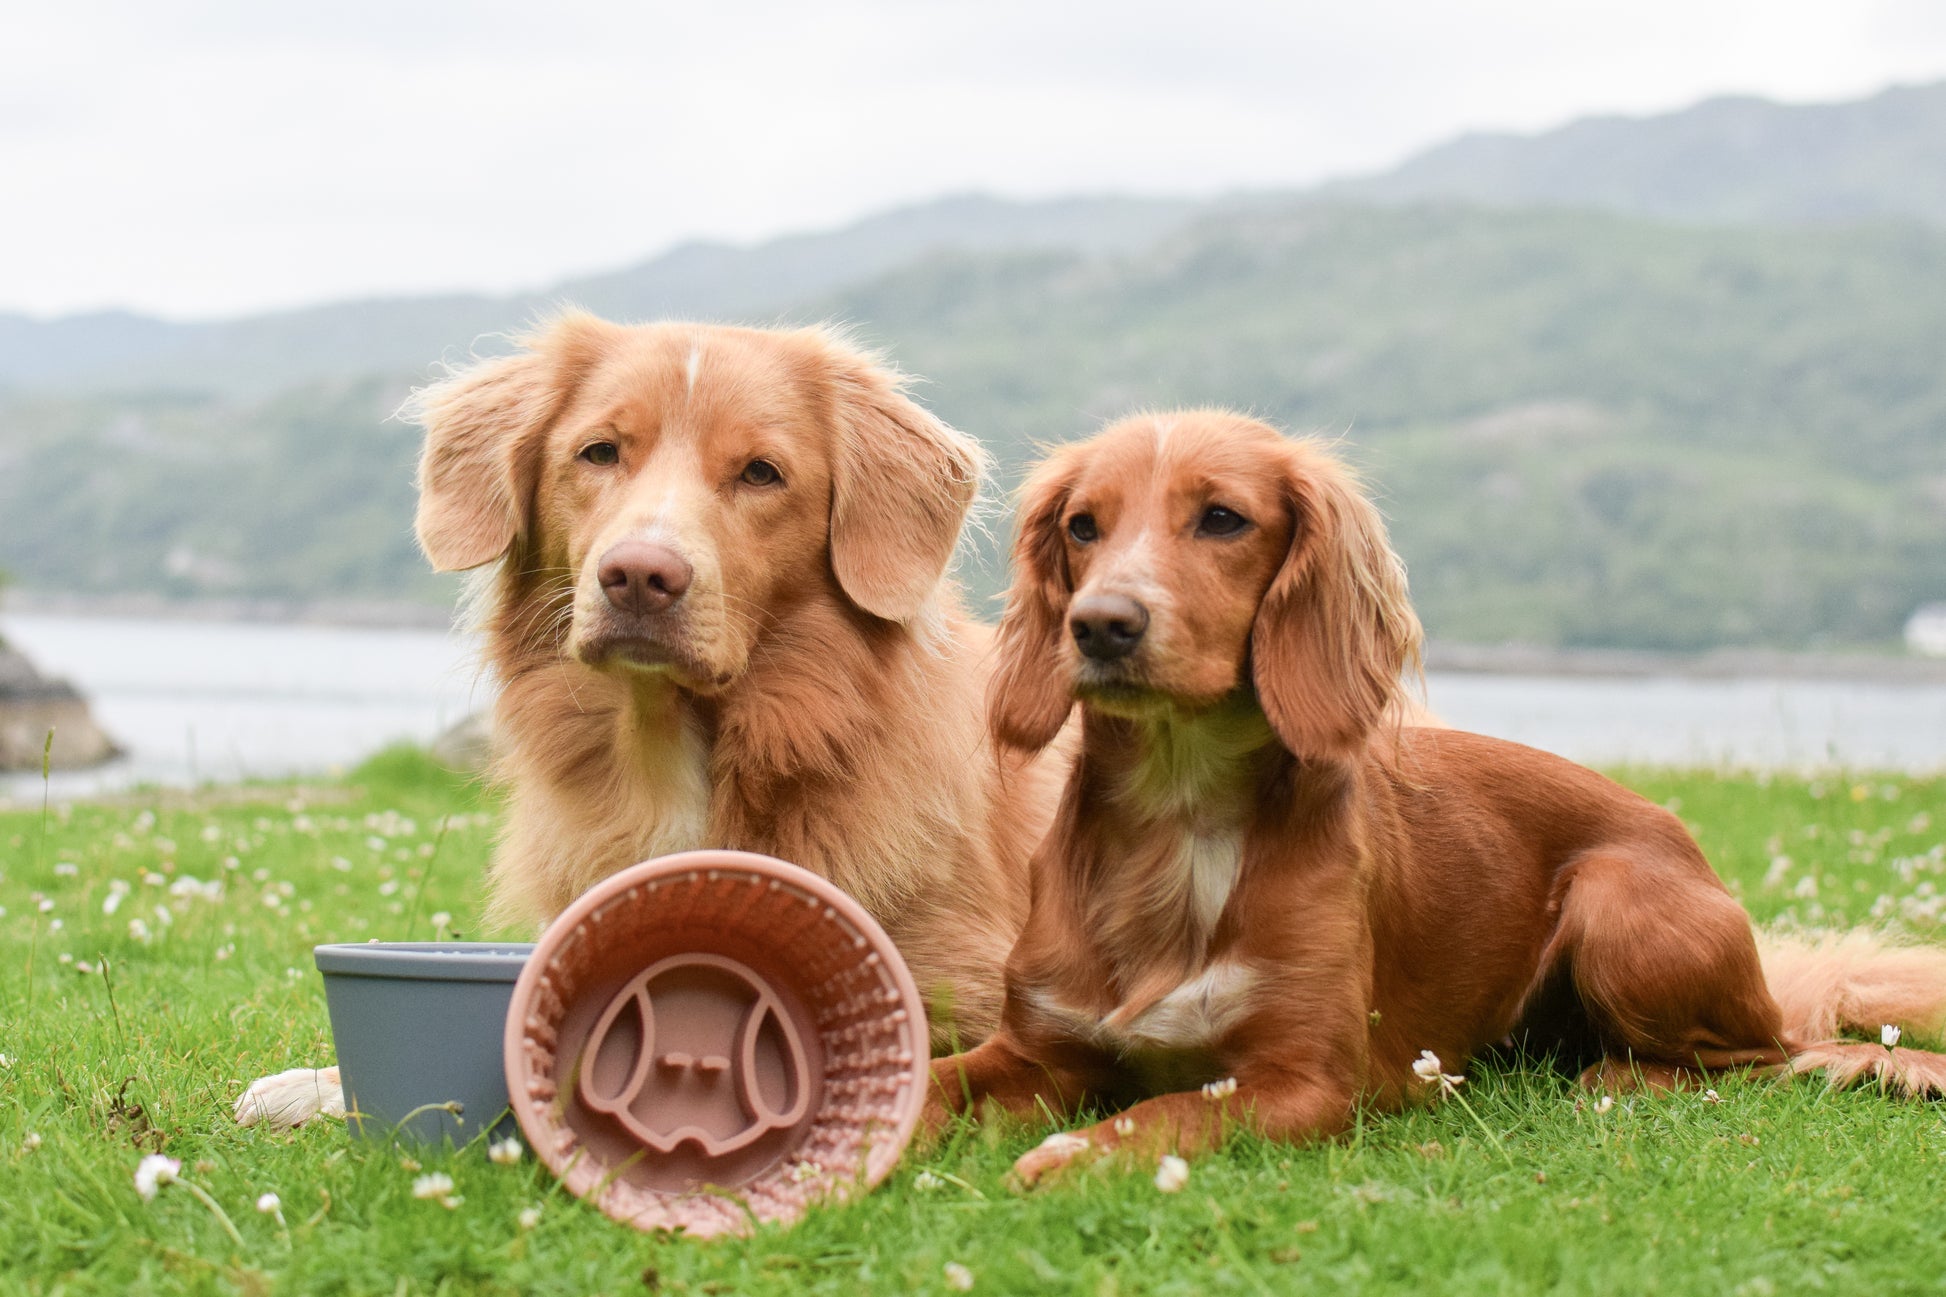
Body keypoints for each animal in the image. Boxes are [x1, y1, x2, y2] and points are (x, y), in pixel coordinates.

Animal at [239, 311, 1081, 1121]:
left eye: (761, 472)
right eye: (599, 452)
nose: (640, 575)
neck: (675, 747)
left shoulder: (979, 994)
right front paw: (312, 1085)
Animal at [922, 410, 1946, 1184]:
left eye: (1222, 518)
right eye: (1082, 526)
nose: (1099, 626)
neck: (1179, 819)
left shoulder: (1306, 1081)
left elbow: (1168, 1110)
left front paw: (1066, 1155)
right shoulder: (1037, 1049)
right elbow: (931, 1079)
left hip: (1618, 905)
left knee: (1760, 1057)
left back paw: (1623, 1076)